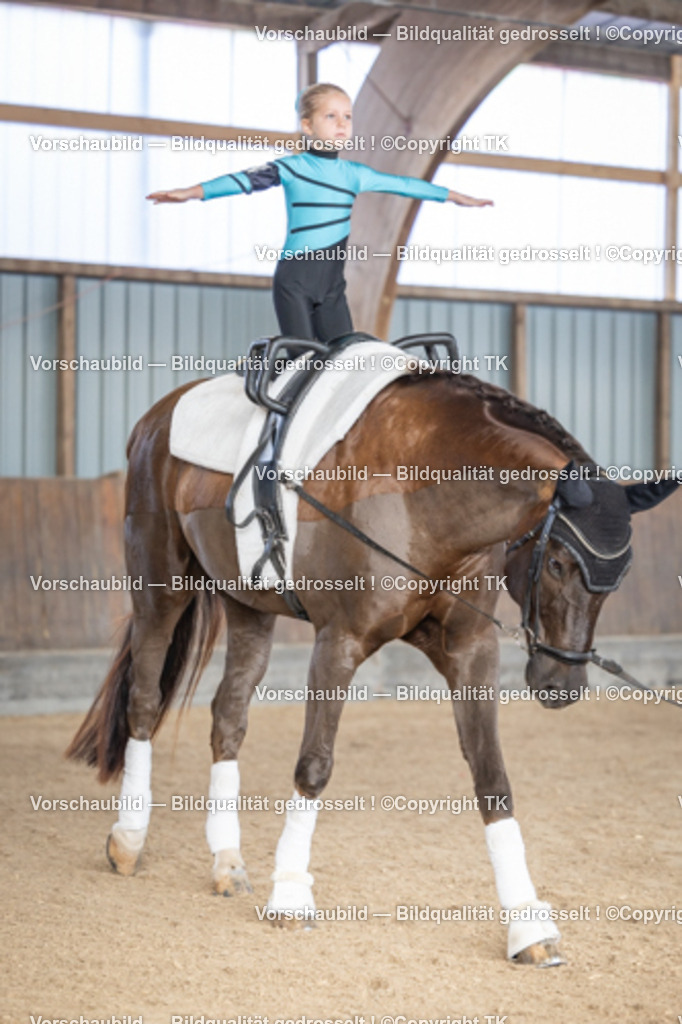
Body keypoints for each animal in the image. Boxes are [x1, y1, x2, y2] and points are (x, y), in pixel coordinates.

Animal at [67, 369, 675, 965]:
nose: (561, 685)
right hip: (160, 586)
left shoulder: (470, 649)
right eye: (556, 564)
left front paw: (528, 924)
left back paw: (227, 862)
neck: (425, 499)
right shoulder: (338, 643)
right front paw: (290, 896)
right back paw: (129, 840)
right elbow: (314, 765)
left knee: (229, 713)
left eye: (620, 578)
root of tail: (157, 415)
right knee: (145, 700)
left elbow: (492, 778)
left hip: (248, 605)